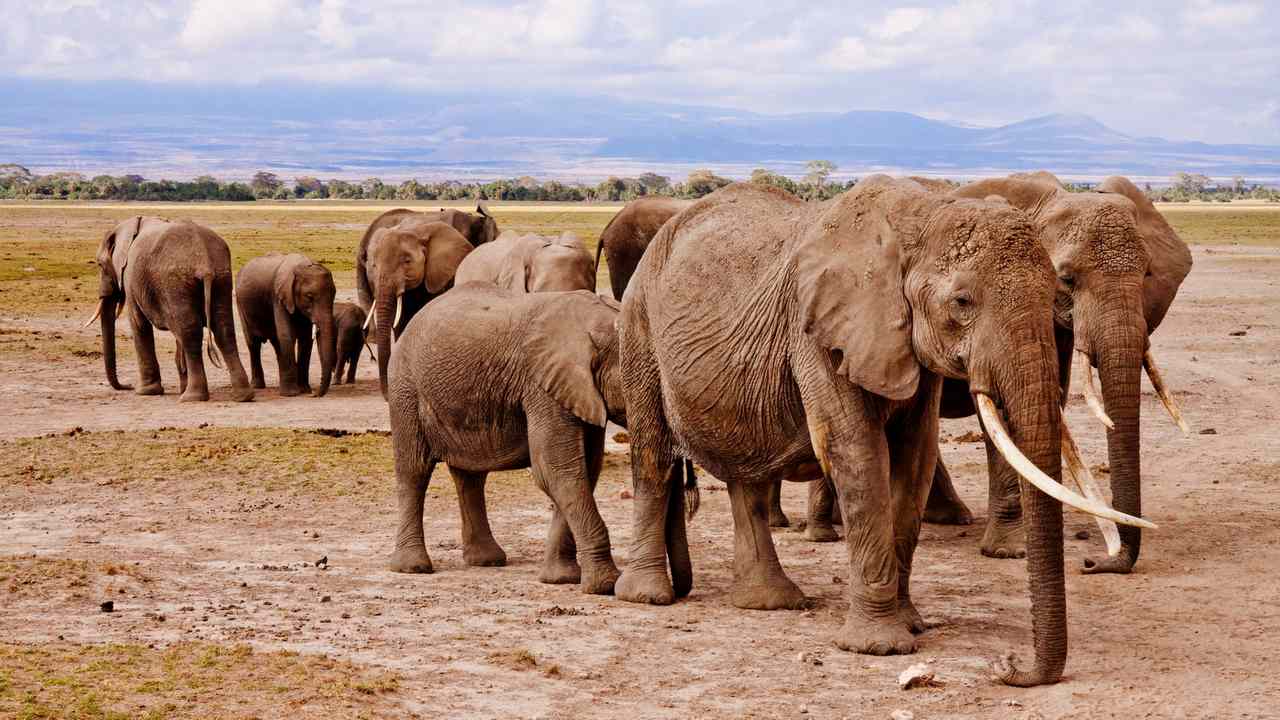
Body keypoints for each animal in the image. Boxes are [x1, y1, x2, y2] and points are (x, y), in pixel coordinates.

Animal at [86, 216, 253, 403]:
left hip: (175, 281)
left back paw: (191, 397)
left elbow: (139, 324)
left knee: (190, 334)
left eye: (100, 265)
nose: (127, 386)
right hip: (221, 277)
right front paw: (179, 387)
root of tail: (204, 260)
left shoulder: (130, 277)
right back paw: (242, 396)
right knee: (223, 330)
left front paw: (145, 392)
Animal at [235, 253, 338, 398]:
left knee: (276, 343)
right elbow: (286, 335)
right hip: (241, 306)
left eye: (334, 295)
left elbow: (306, 340)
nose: (314, 394)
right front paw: (291, 394)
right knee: (253, 343)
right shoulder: (279, 298)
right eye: (309, 296)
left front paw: (304, 390)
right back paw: (258, 386)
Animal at [356, 215, 475, 397]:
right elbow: (400, 322)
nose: (386, 395)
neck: (415, 232)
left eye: (407, 261)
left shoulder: (439, 275)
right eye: (374, 265)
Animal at [386, 283, 656, 595]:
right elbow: (557, 470)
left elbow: (583, 470)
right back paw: (413, 567)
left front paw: (560, 579)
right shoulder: (542, 386)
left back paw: (487, 561)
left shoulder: (578, 391)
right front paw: (604, 585)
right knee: (414, 470)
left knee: (470, 477)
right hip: (405, 387)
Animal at [615, 177, 1152, 687]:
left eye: (1055, 292)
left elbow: (914, 458)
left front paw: (911, 623)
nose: (1009, 666)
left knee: (745, 476)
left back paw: (768, 602)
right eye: (962, 302)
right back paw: (648, 596)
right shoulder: (819, 332)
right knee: (654, 455)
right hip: (638, 328)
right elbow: (858, 454)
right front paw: (880, 646)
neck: (920, 218)